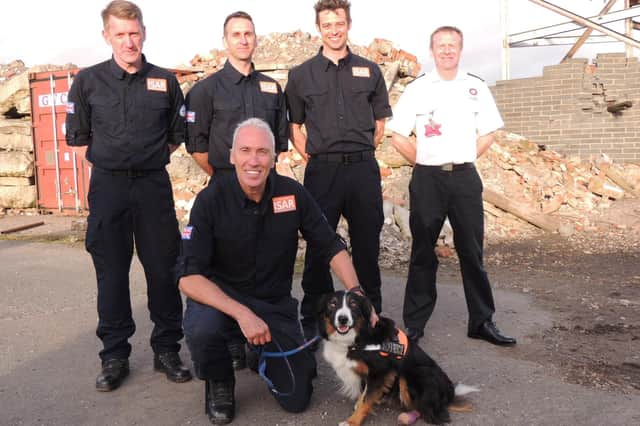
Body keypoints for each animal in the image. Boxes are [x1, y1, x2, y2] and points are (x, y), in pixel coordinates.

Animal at [318, 292, 478, 424]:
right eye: (332, 304)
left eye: (353, 304)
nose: (343, 319)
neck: (356, 338)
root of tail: (449, 393)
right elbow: (364, 393)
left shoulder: (380, 371)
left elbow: (366, 400)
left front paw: (352, 421)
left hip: (416, 372)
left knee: (426, 409)